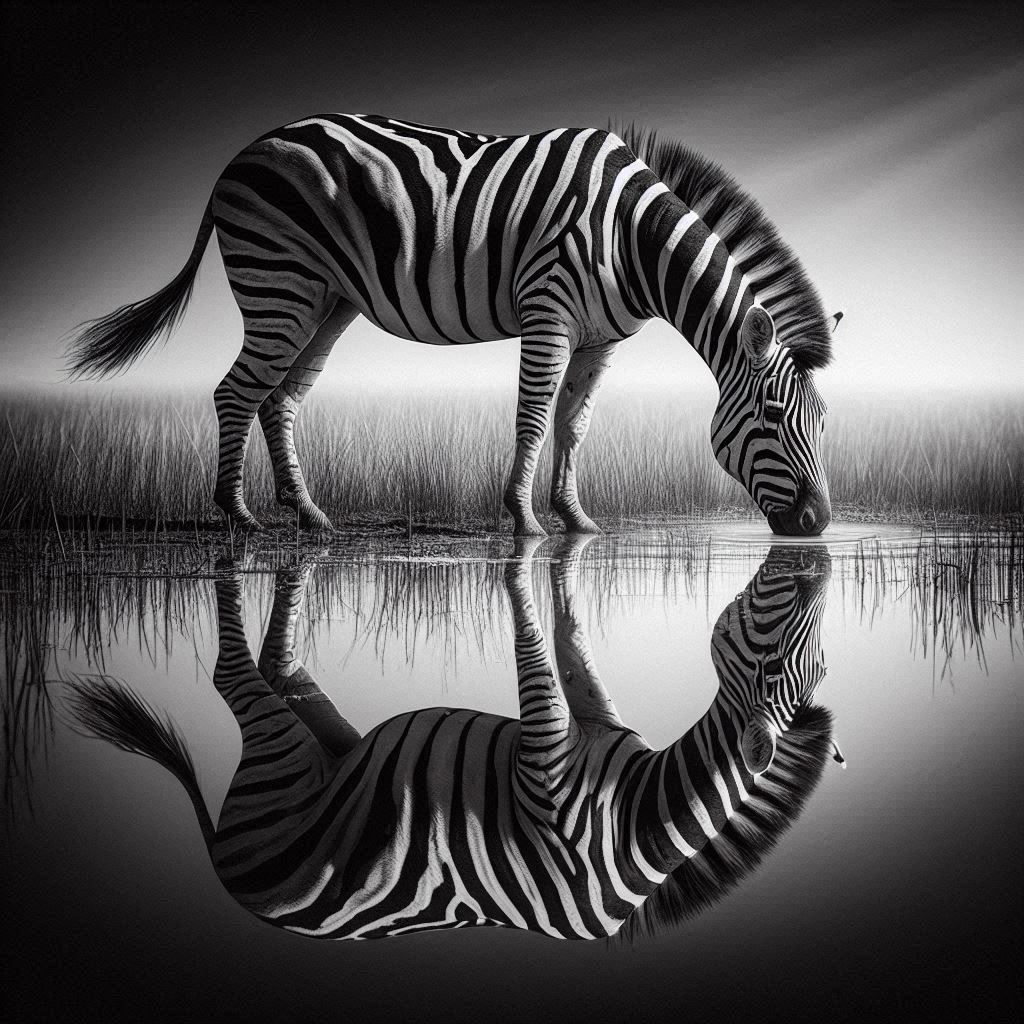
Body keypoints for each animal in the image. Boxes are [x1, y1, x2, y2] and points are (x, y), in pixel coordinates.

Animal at [66, 536, 839, 941]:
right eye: (791, 668)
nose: (815, 565)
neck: (632, 821)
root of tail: (227, 876)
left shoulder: (546, 758)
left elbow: (539, 645)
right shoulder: (585, 721)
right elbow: (564, 638)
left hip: (290, 760)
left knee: (241, 675)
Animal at [67, 115, 842, 536]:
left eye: (823, 422)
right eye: (774, 417)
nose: (820, 525)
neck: (631, 238)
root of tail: (244, 151)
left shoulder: (600, 339)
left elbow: (574, 424)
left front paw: (575, 518)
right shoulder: (549, 308)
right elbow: (535, 415)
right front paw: (525, 519)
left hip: (326, 297)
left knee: (279, 396)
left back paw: (308, 514)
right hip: (277, 279)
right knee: (236, 392)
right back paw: (239, 515)